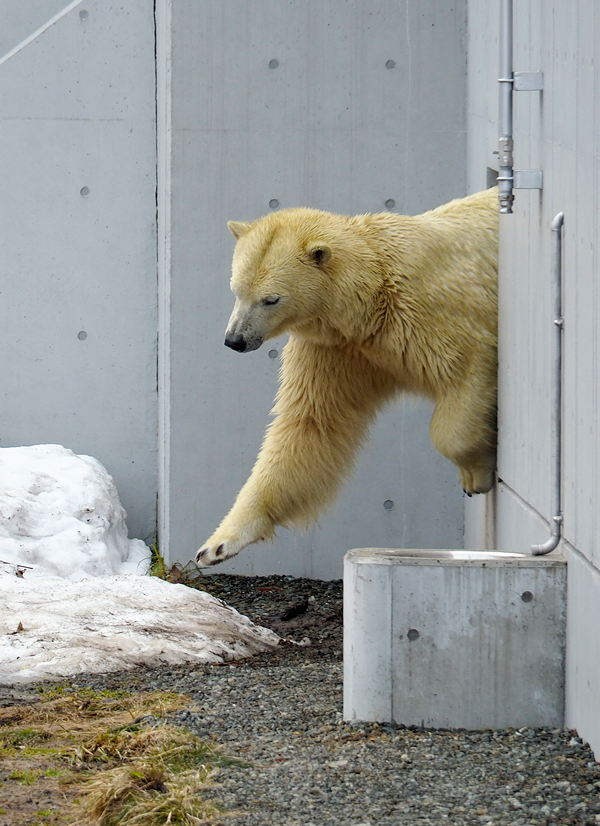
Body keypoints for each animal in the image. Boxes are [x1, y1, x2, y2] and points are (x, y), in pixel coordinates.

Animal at [196, 188, 496, 568]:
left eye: (271, 299)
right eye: (236, 290)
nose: (234, 340)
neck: (374, 301)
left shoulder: (437, 316)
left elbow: (466, 375)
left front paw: (474, 475)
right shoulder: (340, 349)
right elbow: (311, 426)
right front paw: (219, 544)